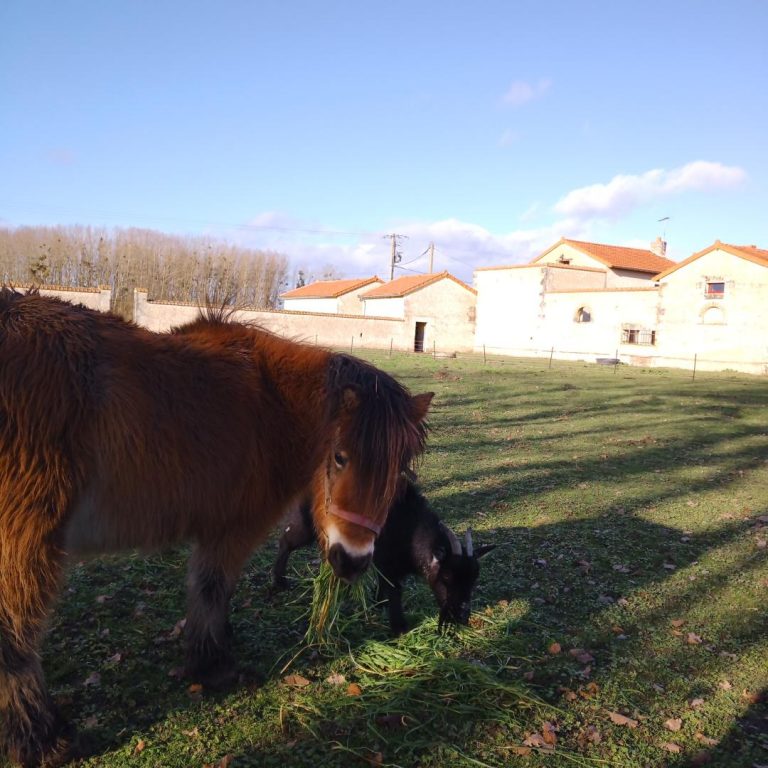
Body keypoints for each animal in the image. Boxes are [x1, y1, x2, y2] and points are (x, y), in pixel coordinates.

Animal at [0, 290, 432, 768]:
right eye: (339, 457)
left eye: (399, 470)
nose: (352, 561)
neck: (274, 403)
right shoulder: (232, 530)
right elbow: (211, 587)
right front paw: (214, 666)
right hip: (27, 542)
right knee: (14, 634)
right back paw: (43, 740)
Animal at [272, 480, 496, 636]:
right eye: (447, 576)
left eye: (474, 579)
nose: (462, 617)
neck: (409, 526)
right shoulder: (388, 563)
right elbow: (394, 590)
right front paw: (399, 627)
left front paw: (378, 602)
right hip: (306, 522)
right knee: (285, 542)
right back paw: (279, 582)